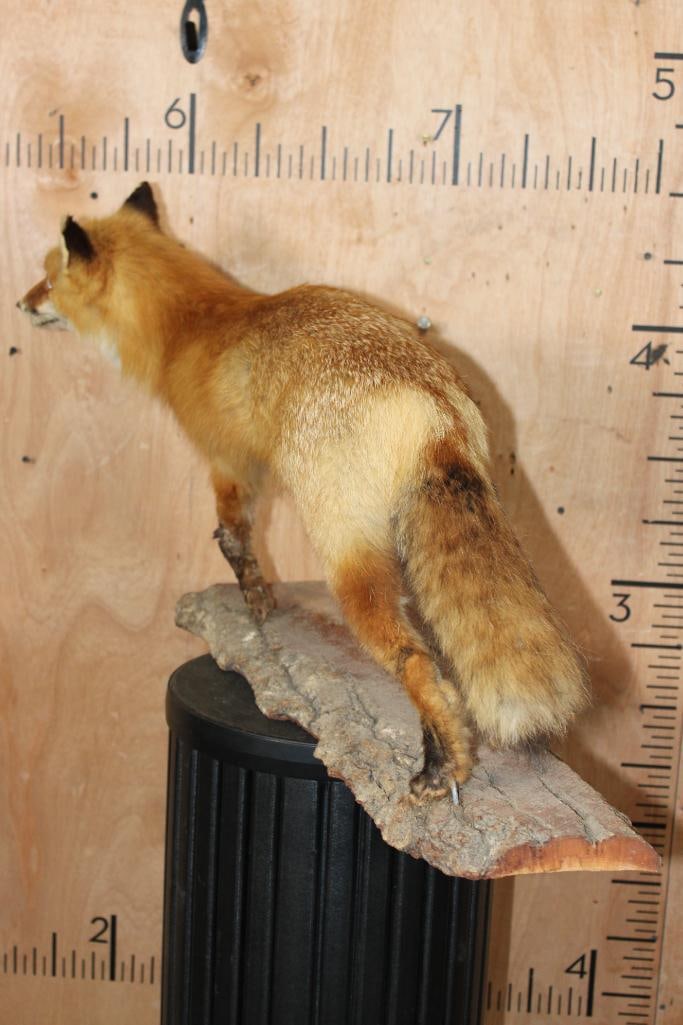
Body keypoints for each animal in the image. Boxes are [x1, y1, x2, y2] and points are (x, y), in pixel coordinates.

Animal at [18, 182, 588, 803]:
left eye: (48, 279)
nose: (21, 304)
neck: (187, 327)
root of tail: (428, 400)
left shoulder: (228, 461)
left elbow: (232, 537)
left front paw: (255, 599)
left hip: (346, 553)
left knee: (415, 659)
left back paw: (442, 769)